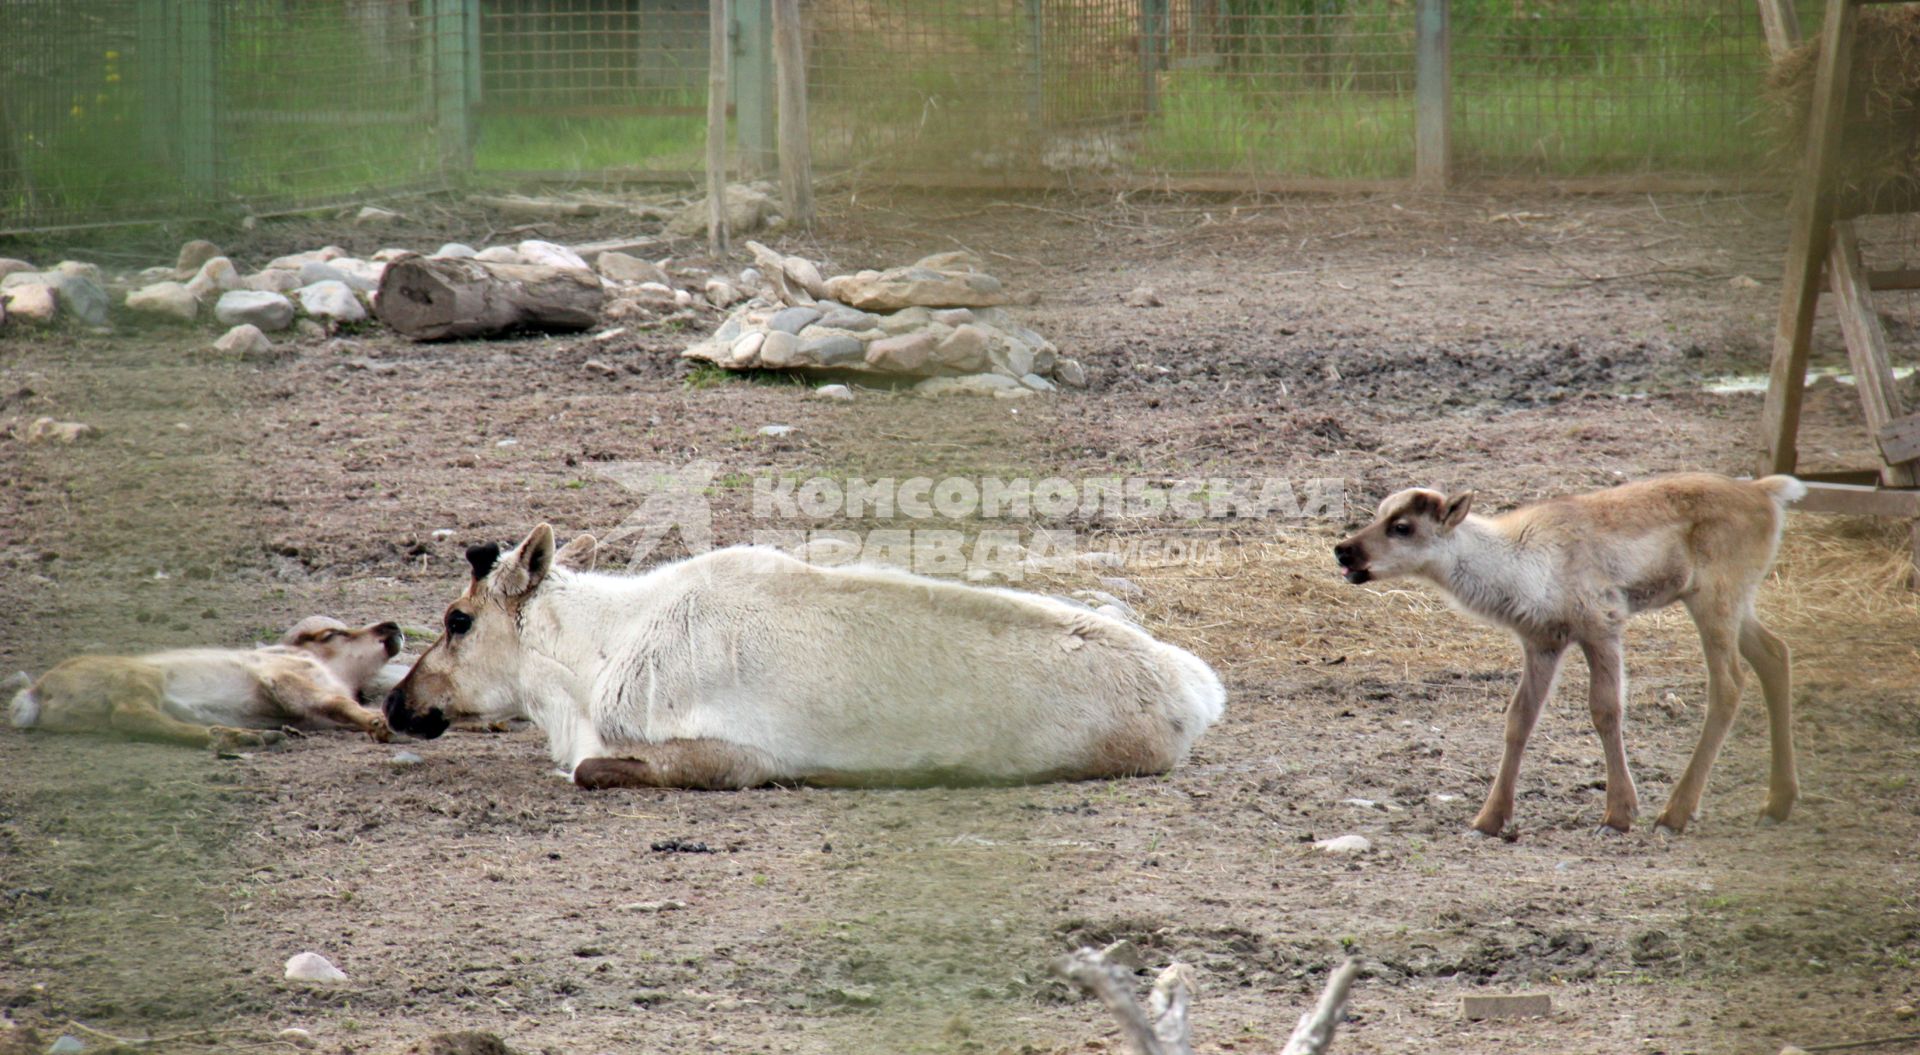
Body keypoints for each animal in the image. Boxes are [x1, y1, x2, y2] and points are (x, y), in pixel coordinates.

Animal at [7, 611, 403, 753]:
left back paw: (247, 736)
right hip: (141, 679)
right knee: (133, 715)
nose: (392, 627)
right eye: (331, 634)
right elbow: (339, 703)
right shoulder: (285, 678)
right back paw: (236, 737)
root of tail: (38, 690)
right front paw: (377, 722)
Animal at [1336, 472, 1797, 834]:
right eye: (1378, 514)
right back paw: (1777, 804)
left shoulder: (1601, 627)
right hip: (1737, 603)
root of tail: (1766, 491)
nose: (1343, 549)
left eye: (1402, 526)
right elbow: (1520, 718)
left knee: (1730, 683)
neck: (1520, 563)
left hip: (1713, 599)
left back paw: (1675, 814)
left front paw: (1618, 814)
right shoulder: (1542, 643)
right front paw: (1489, 819)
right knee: (1775, 654)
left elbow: (1605, 710)